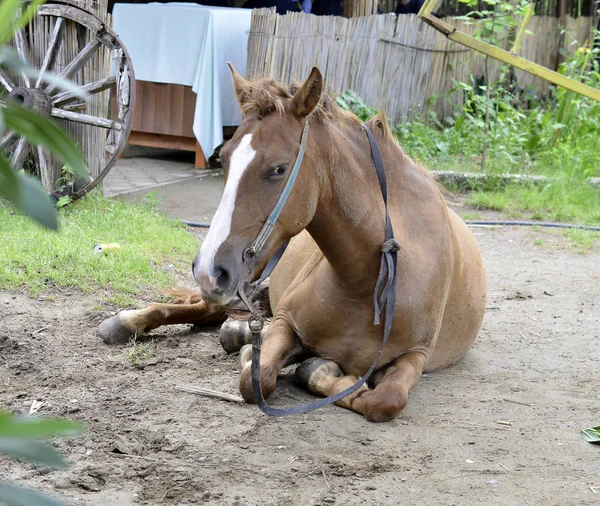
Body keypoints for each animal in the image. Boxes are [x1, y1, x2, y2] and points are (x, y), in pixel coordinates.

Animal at [101, 67, 488, 422]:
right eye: (224, 159)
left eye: (279, 169)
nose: (208, 269)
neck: (367, 283)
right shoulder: (286, 321)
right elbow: (255, 379)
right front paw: (281, 362)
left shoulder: (416, 356)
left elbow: (384, 400)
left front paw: (316, 368)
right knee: (209, 308)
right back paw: (127, 322)